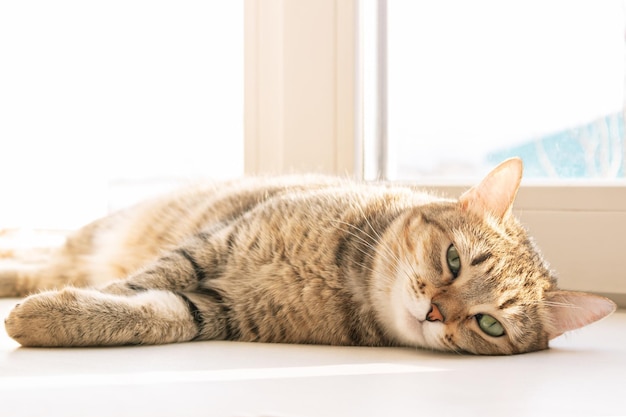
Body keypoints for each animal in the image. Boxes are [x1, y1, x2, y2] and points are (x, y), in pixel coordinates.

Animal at [0, 158, 616, 352]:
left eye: (489, 324)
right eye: (453, 261)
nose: (436, 313)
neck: (343, 284)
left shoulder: (216, 311)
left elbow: (153, 315)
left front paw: (53, 317)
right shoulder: (214, 243)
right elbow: (135, 284)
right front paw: (74, 302)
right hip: (95, 236)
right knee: (45, 256)